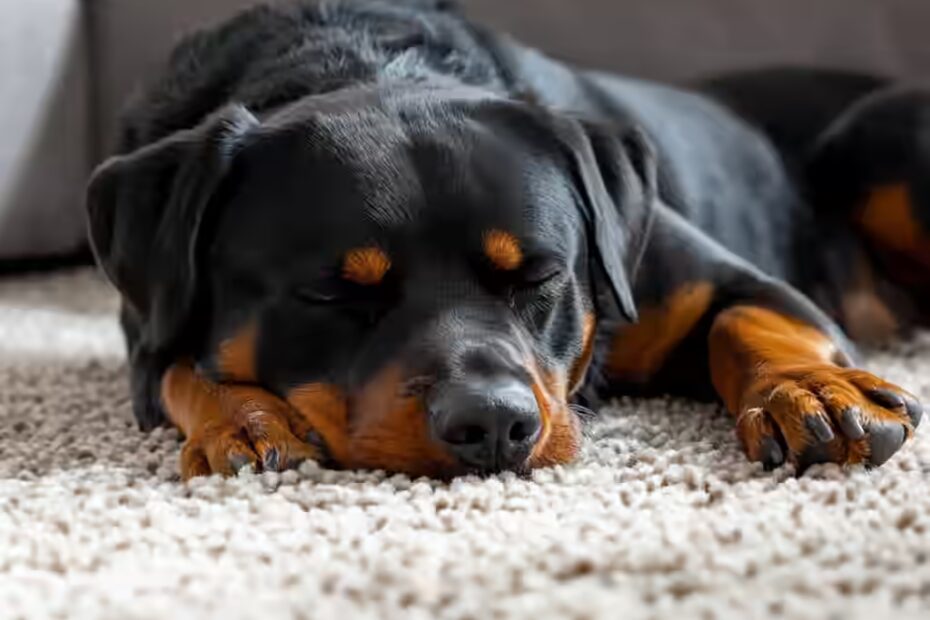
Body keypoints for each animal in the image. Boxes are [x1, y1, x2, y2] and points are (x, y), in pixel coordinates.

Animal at [85, 0, 920, 480]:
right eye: (330, 294)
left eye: (539, 276)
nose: (491, 422)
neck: (364, 59)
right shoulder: (145, 333)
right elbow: (183, 372)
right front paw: (249, 418)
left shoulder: (717, 277)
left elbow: (752, 317)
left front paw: (812, 389)